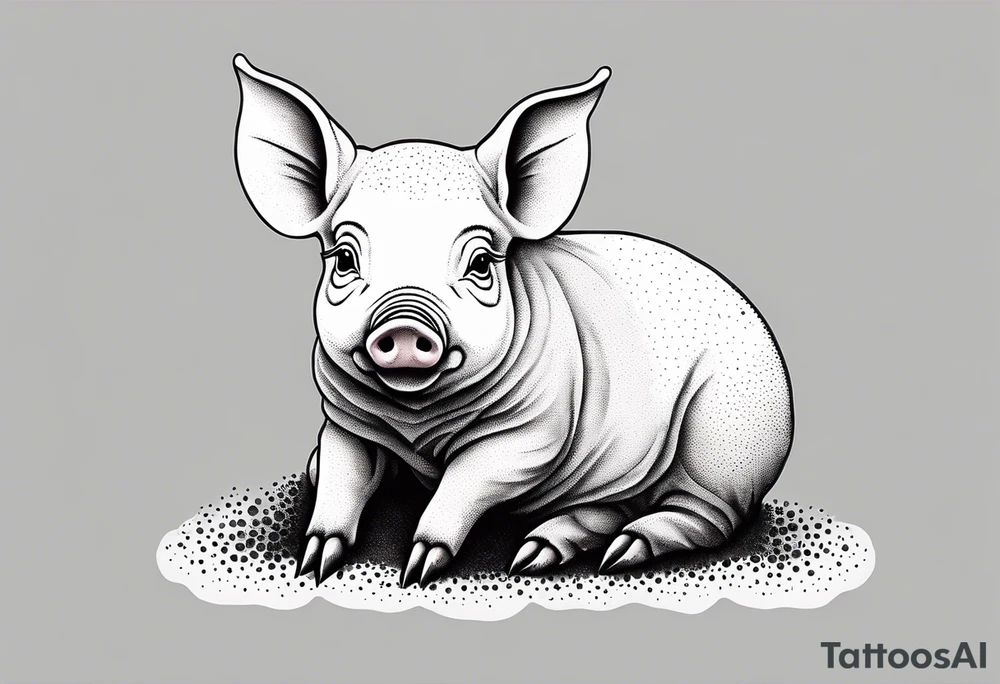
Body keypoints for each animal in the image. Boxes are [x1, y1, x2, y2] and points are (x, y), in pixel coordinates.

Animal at [231, 54, 793, 588]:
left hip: (726, 437)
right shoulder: (345, 418)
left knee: (706, 515)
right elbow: (341, 473)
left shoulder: (537, 430)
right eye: (345, 259)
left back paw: (608, 554)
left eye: (481, 262)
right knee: (612, 504)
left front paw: (419, 570)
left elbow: (469, 476)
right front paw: (313, 562)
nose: (405, 327)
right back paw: (540, 552)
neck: (417, 423)